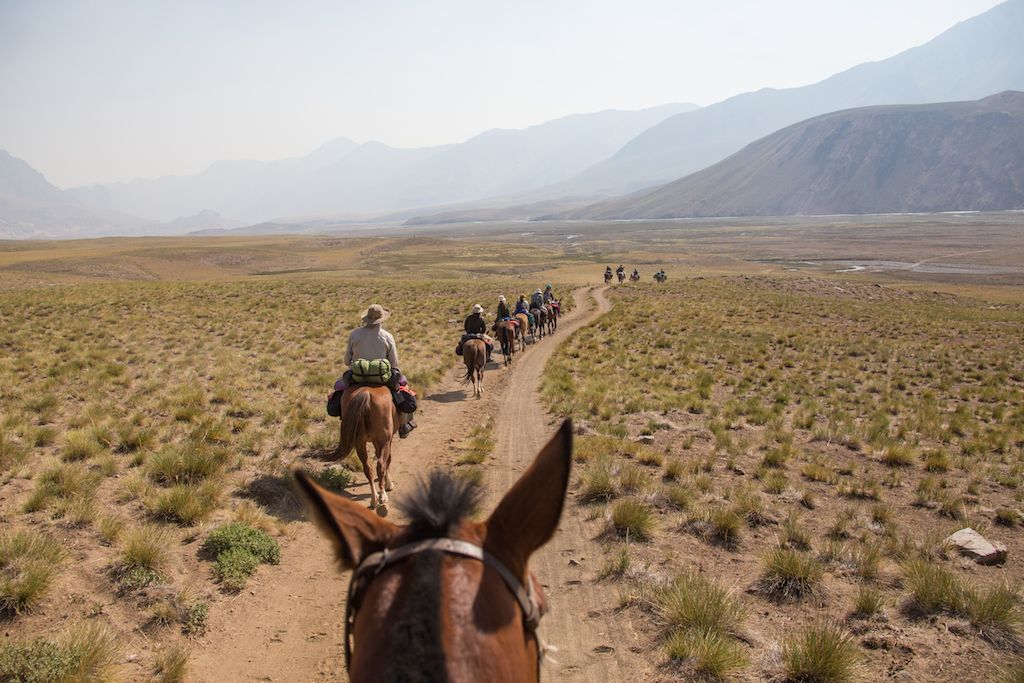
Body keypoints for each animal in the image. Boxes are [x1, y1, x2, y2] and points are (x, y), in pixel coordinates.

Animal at [335, 387, 399, 516]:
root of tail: (366, 394)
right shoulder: (387, 440)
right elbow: (388, 459)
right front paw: (389, 484)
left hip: (360, 443)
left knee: (367, 468)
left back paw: (374, 499)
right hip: (383, 440)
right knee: (380, 465)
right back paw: (382, 498)